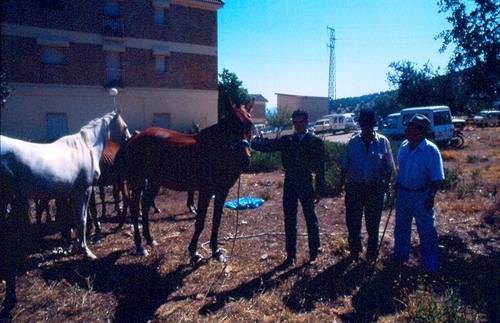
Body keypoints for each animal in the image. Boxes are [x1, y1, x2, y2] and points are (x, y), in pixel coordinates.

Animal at [0, 111, 129, 260]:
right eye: (125, 127)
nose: (129, 139)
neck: (86, 147)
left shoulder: (73, 193)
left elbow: (76, 218)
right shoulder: (84, 191)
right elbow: (82, 219)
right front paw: (85, 250)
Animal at [120, 97, 254, 264]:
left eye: (250, 124)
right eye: (230, 124)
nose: (244, 159)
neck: (216, 150)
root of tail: (135, 137)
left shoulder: (222, 191)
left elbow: (216, 220)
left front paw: (216, 251)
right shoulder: (206, 191)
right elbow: (200, 221)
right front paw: (194, 252)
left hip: (154, 182)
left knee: (144, 204)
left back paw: (150, 239)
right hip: (138, 182)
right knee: (135, 209)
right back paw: (140, 246)